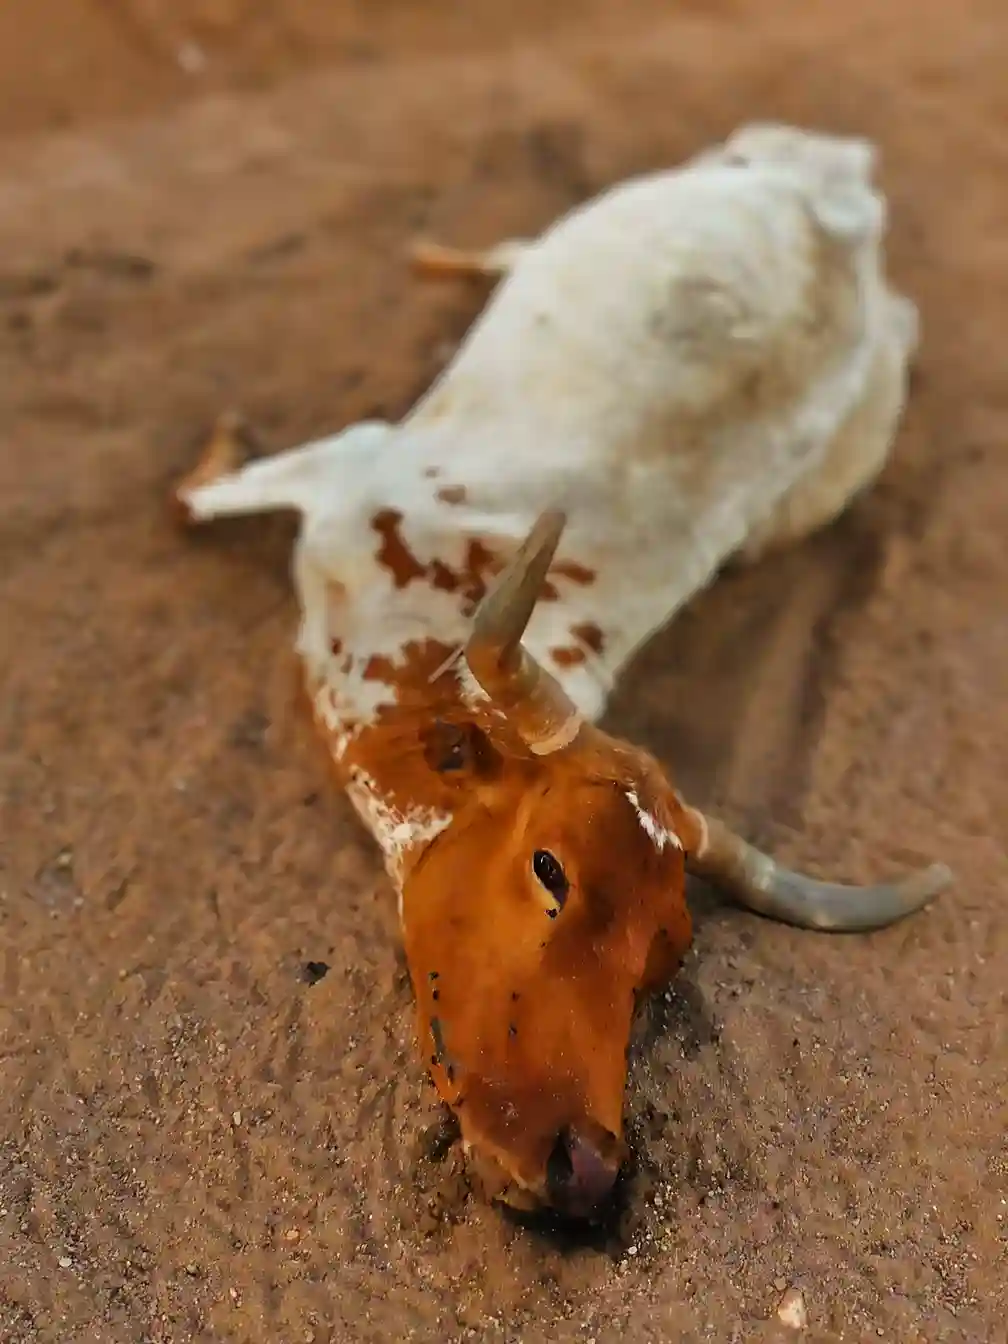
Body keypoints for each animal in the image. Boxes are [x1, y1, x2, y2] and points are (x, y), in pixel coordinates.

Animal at [171, 123, 952, 1223]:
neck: (420, 636)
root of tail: (839, 178)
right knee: (509, 252)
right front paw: (223, 437)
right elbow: (194, 494)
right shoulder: (343, 466)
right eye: (551, 870)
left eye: (665, 958)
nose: (587, 1169)